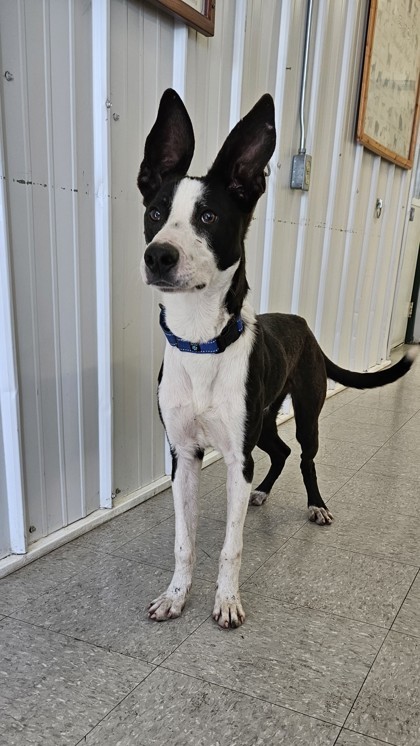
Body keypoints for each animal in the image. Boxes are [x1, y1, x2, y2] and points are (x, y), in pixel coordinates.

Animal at [138, 88, 416, 628]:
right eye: (156, 213)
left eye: (208, 217)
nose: (158, 256)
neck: (200, 341)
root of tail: (304, 325)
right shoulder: (183, 454)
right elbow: (184, 541)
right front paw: (176, 596)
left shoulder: (234, 458)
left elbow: (231, 546)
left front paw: (226, 600)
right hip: (265, 420)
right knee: (280, 452)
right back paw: (263, 491)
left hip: (305, 412)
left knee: (304, 456)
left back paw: (317, 505)